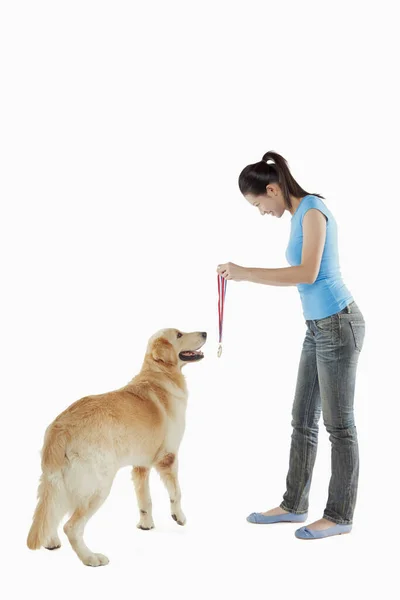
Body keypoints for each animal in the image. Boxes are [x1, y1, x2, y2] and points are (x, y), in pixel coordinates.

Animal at [26, 328, 206, 568]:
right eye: (179, 334)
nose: (205, 333)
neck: (160, 375)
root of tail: (60, 427)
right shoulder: (168, 458)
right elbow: (176, 492)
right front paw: (179, 517)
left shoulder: (140, 466)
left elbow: (145, 499)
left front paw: (146, 524)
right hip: (99, 486)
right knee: (71, 526)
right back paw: (91, 557)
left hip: (58, 481)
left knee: (53, 510)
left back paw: (51, 540)